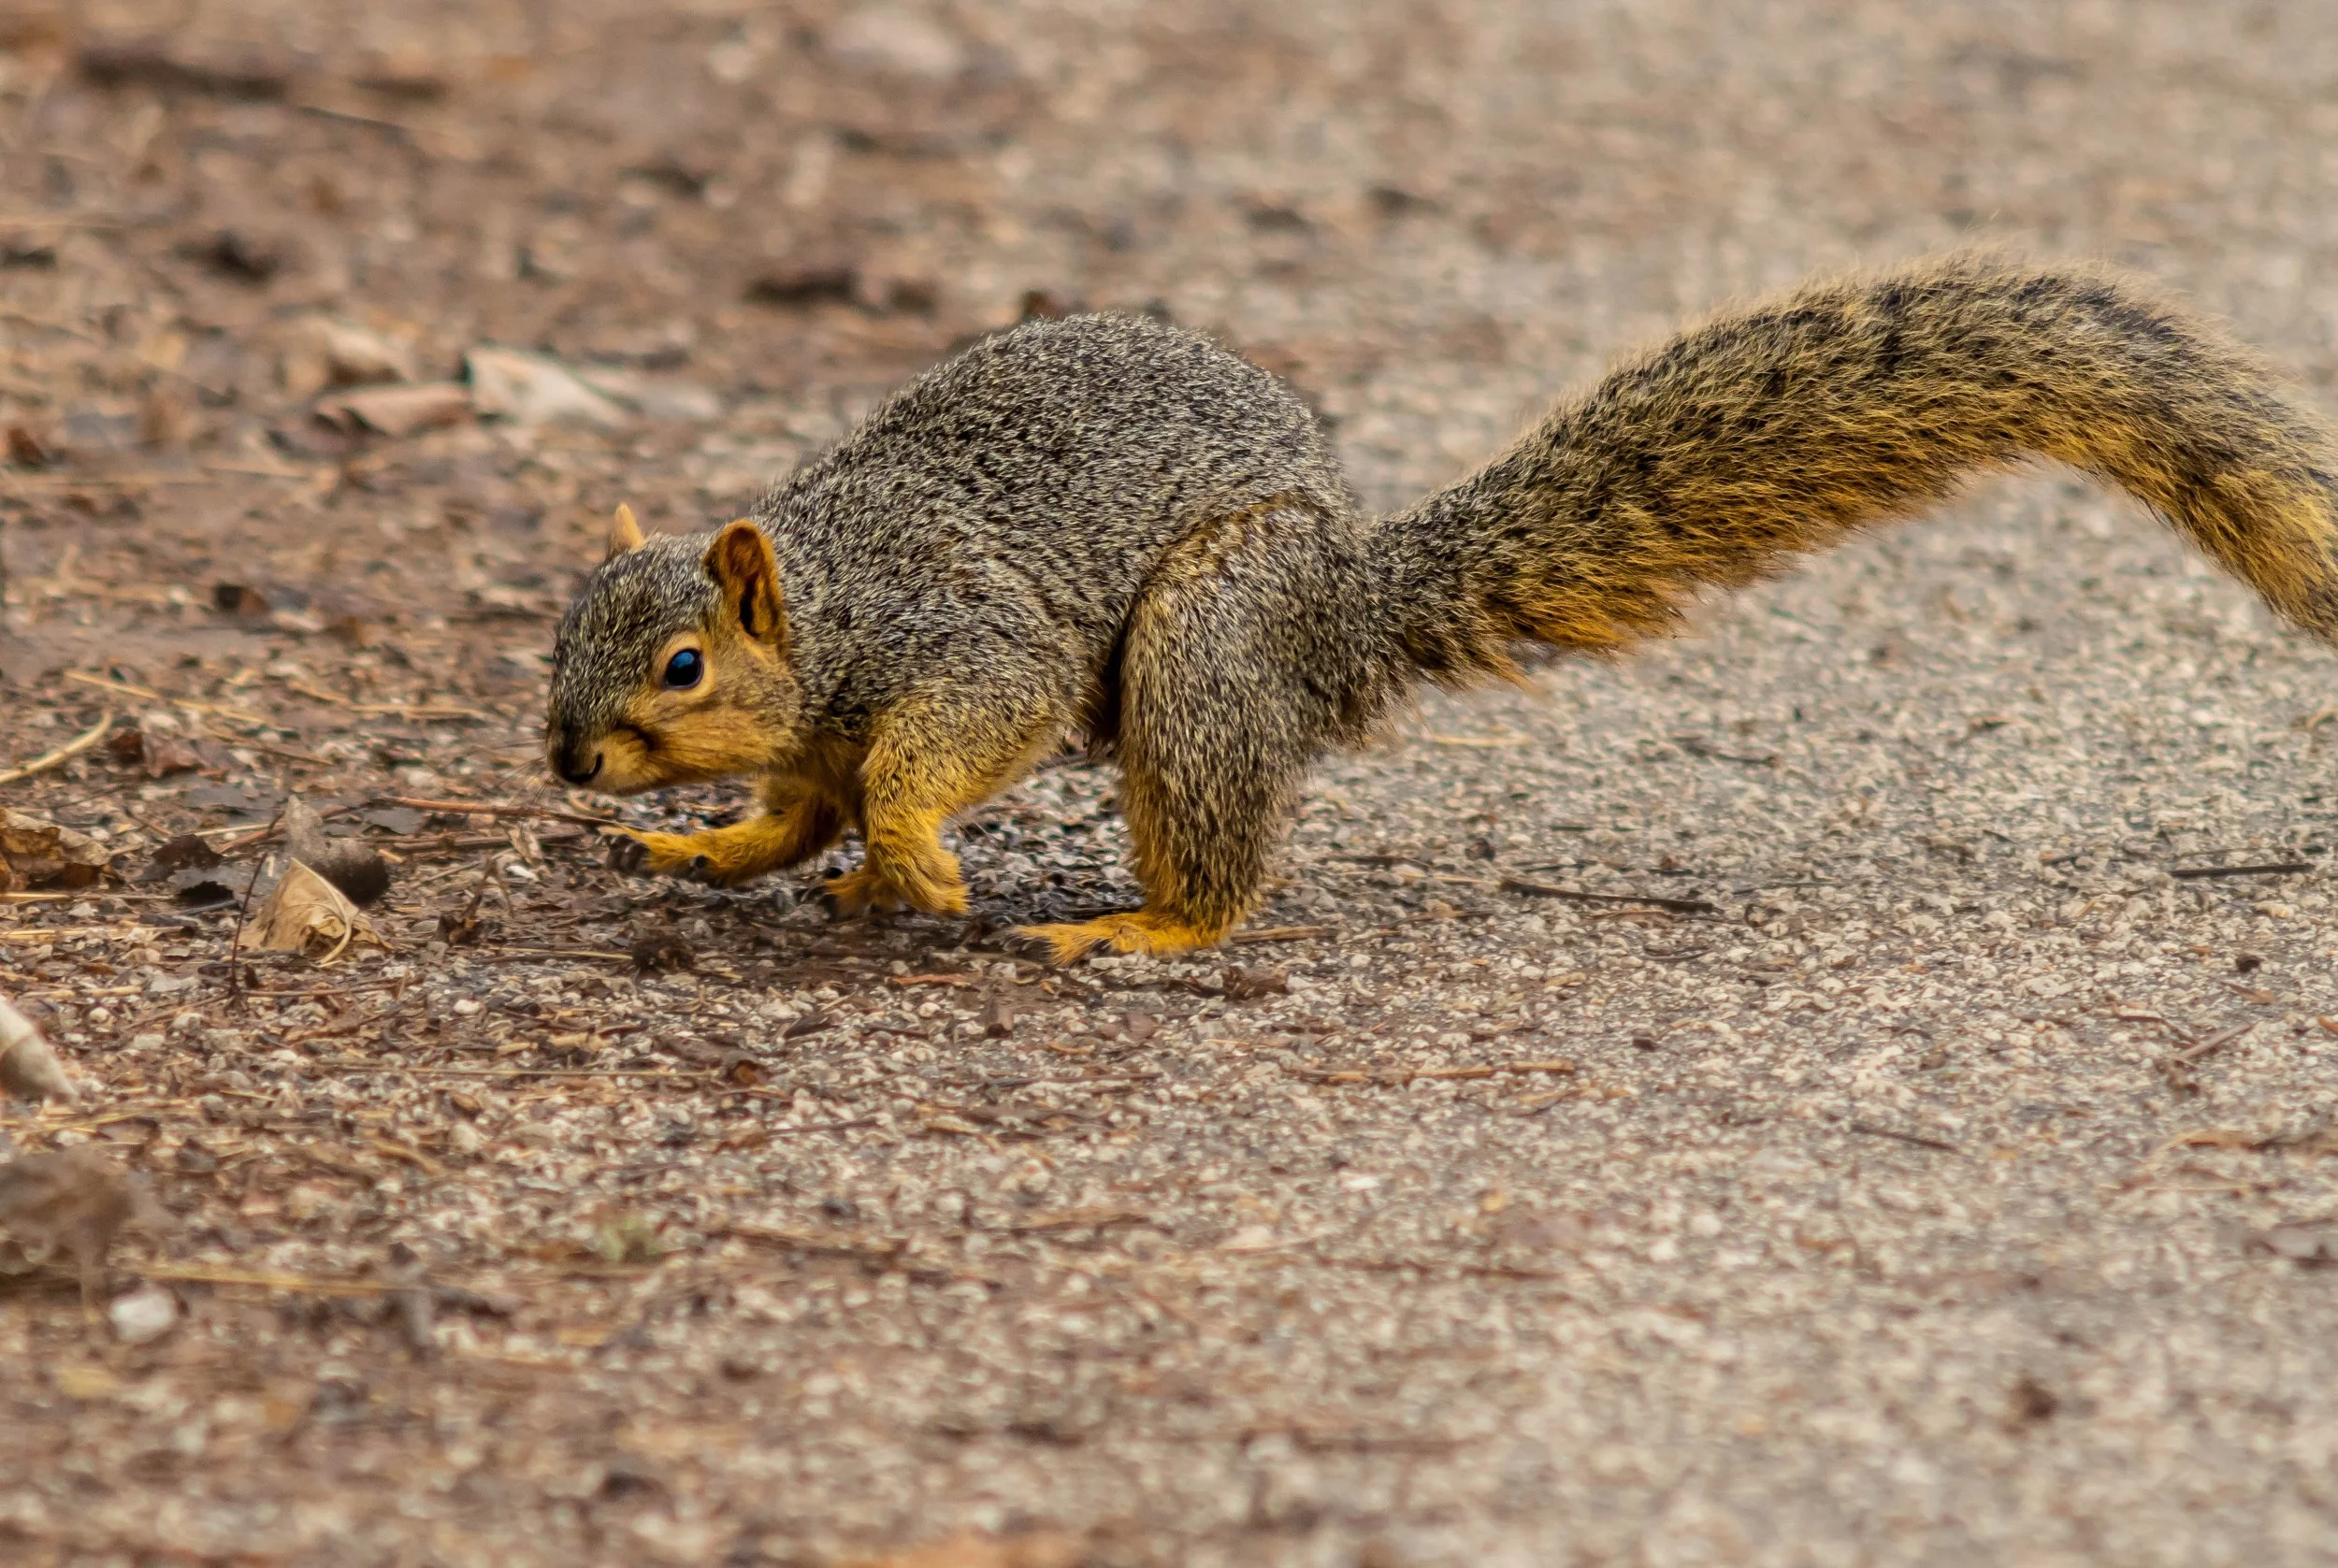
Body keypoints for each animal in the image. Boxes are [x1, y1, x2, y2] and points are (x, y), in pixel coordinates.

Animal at [546, 254, 2338, 962]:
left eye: (683, 663)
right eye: (554, 641)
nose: (565, 762)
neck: (833, 611)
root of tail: (1344, 606)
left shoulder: (962, 643)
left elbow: (943, 747)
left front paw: (915, 855)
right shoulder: (813, 740)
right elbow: (792, 814)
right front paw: (714, 853)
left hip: (1210, 636)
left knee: (1216, 841)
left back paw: (1145, 923)